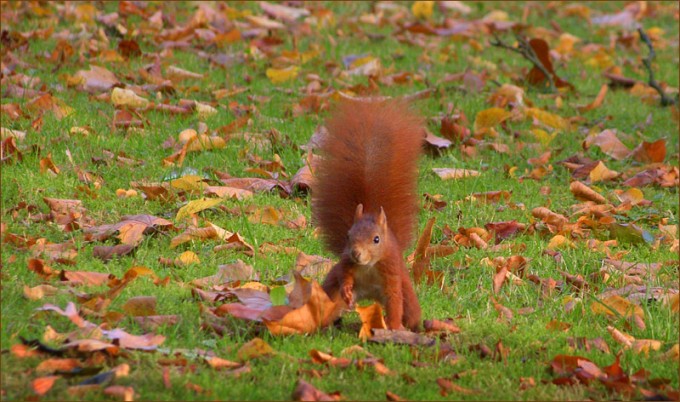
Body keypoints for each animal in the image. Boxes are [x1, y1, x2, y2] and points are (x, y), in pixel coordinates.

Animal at [312, 99, 423, 331]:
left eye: (376, 239)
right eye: (348, 236)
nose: (356, 253)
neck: (369, 265)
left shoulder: (391, 271)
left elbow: (395, 300)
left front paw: (394, 327)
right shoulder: (346, 263)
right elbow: (344, 275)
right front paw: (346, 289)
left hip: (407, 293)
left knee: (408, 309)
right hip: (331, 294)